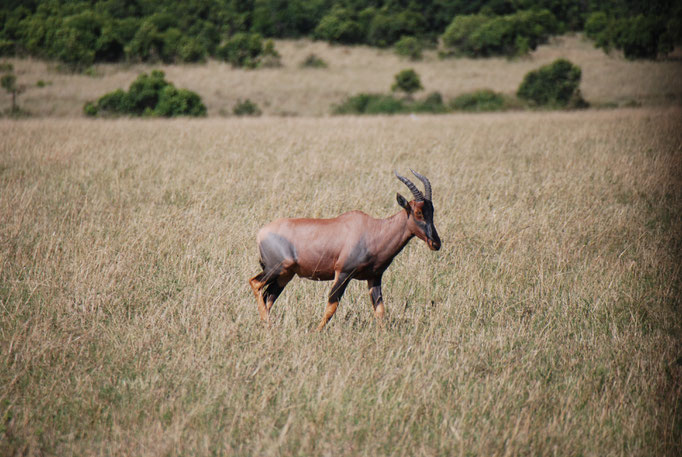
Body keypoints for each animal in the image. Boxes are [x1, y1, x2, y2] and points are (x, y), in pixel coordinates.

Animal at [247, 169, 438, 330]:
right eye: (418, 212)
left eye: (432, 211)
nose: (436, 243)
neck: (372, 229)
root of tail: (261, 233)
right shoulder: (343, 273)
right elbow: (332, 305)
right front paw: (317, 331)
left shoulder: (375, 277)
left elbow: (380, 309)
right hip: (276, 269)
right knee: (255, 284)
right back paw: (268, 324)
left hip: (284, 276)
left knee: (268, 297)